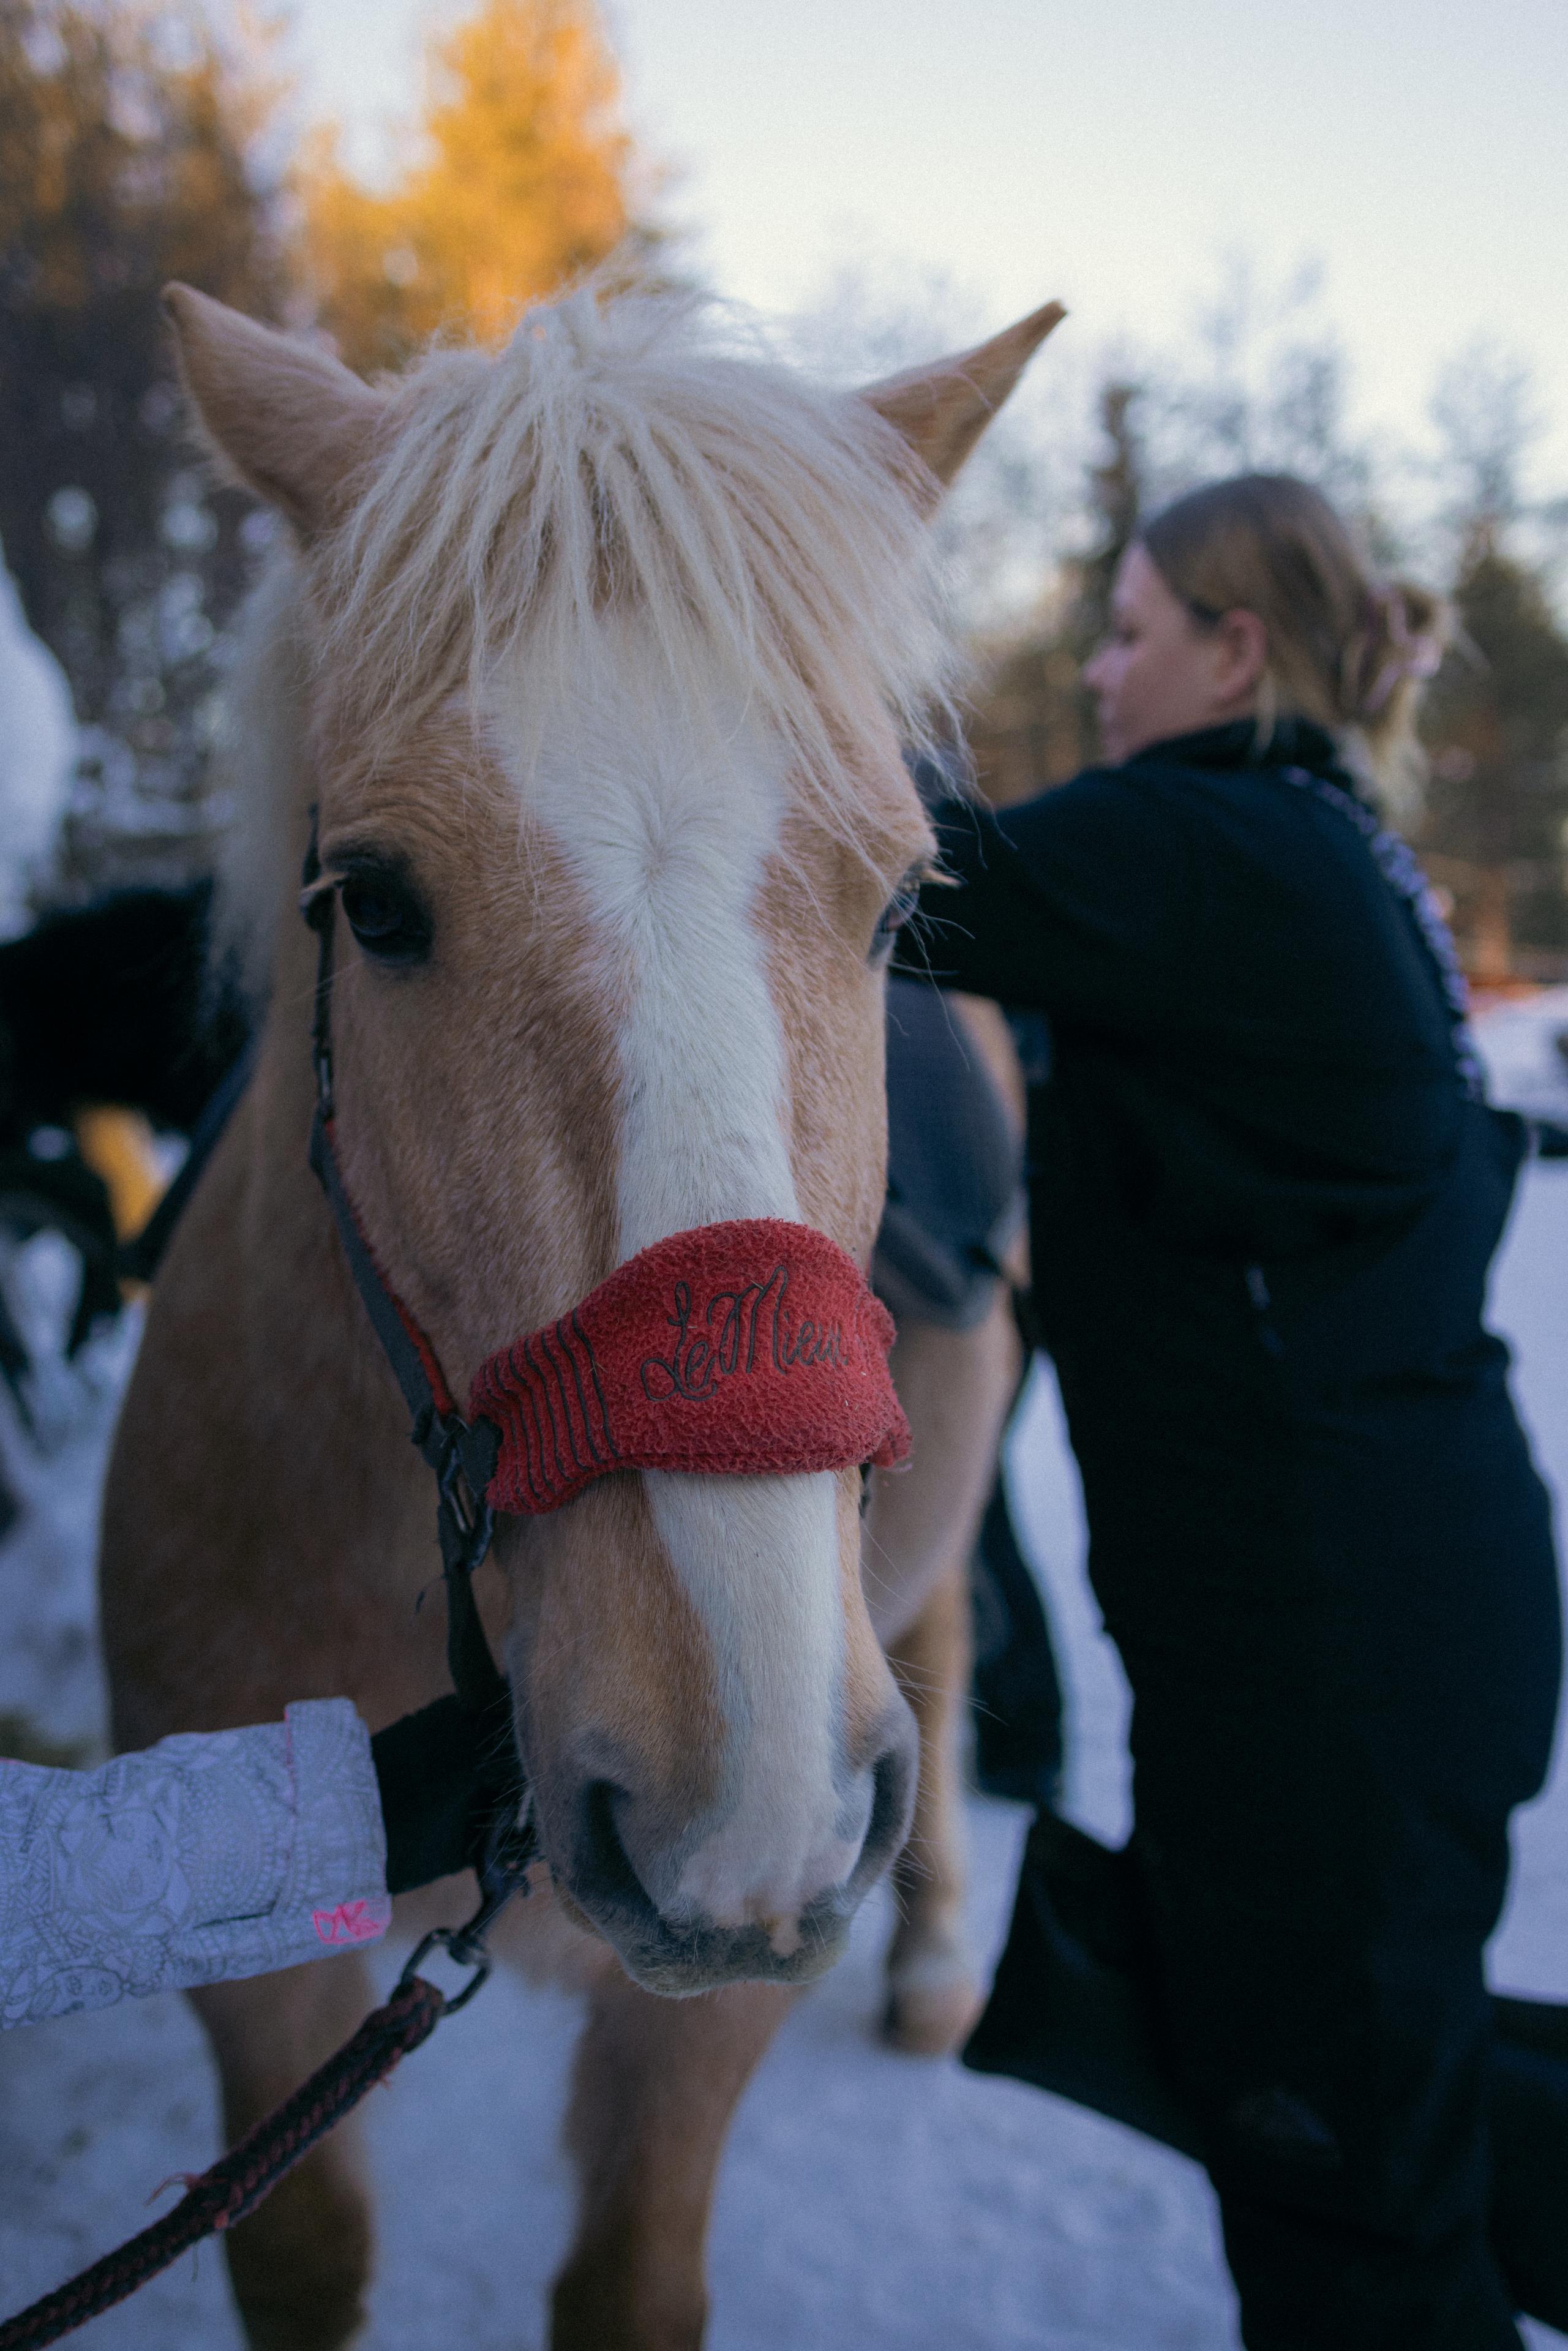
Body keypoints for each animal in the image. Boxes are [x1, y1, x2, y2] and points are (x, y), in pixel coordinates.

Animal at [95, 279, 1053, 2351]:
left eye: (894, 910)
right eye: (372, 900)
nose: (741, 1785)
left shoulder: (706, 2016)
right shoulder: (259, 1987)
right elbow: (302, 2251)